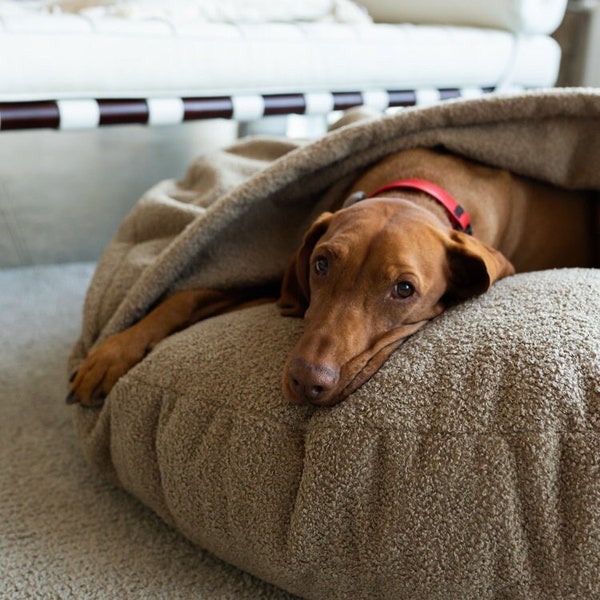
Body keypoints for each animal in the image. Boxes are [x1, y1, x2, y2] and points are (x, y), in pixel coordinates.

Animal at [67, 147, 596, 406]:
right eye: (321, 264)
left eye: (404, 289)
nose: (308, 383)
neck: (420, 185)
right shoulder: (288, 289)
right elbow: (188, 295)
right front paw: (111, 354)